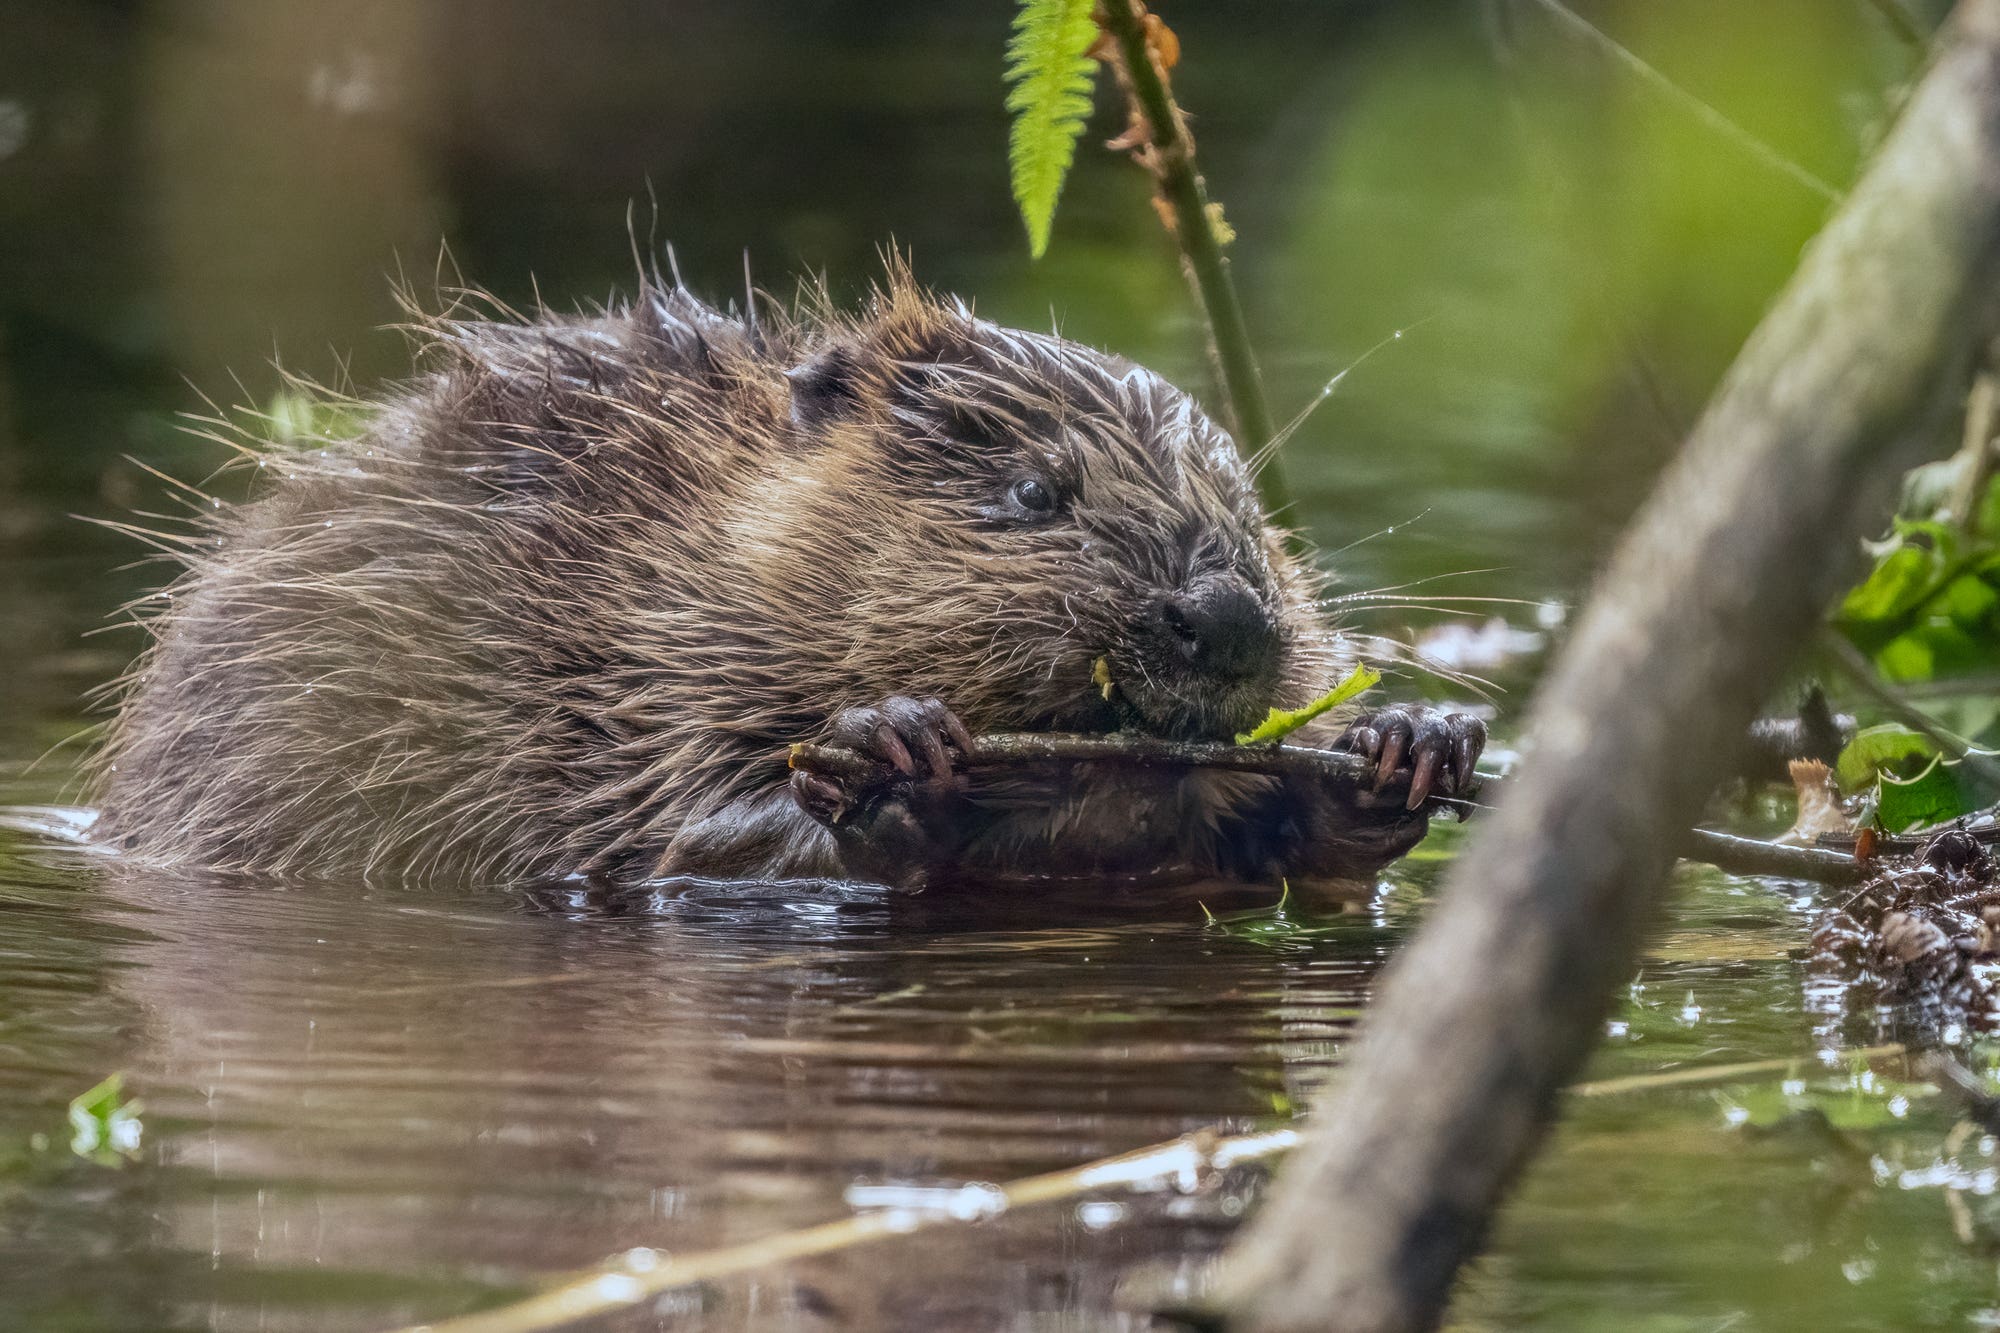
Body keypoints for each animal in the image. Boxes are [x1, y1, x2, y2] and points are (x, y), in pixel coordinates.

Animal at [94, 264, 1488, 888]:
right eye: (1035, 492)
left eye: (1253, 509)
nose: (1229, 615)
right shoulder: (603, 652)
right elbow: (653, 834)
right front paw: (891, 753)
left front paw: (1407, 744)